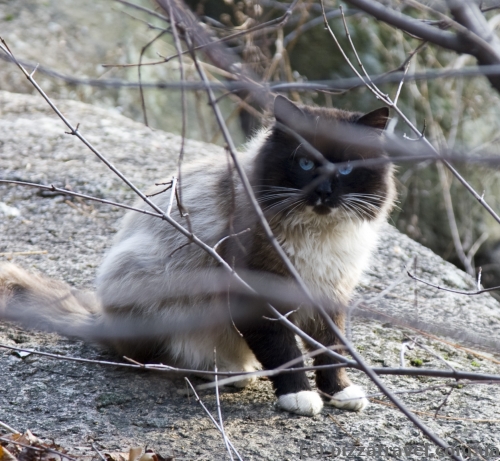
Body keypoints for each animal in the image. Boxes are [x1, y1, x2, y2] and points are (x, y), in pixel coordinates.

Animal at [0, 95, 394, 416]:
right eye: (306, 164)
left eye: (345, 169)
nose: (324, 192)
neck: (318, 234)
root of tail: (105, 322)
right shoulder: (258, 295)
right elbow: (285, 352)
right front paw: (299, 397)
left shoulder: (329, 295)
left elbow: (330, 351)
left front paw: (340, 394)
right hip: (154, 281)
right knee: (162, 357)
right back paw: (229, 374)